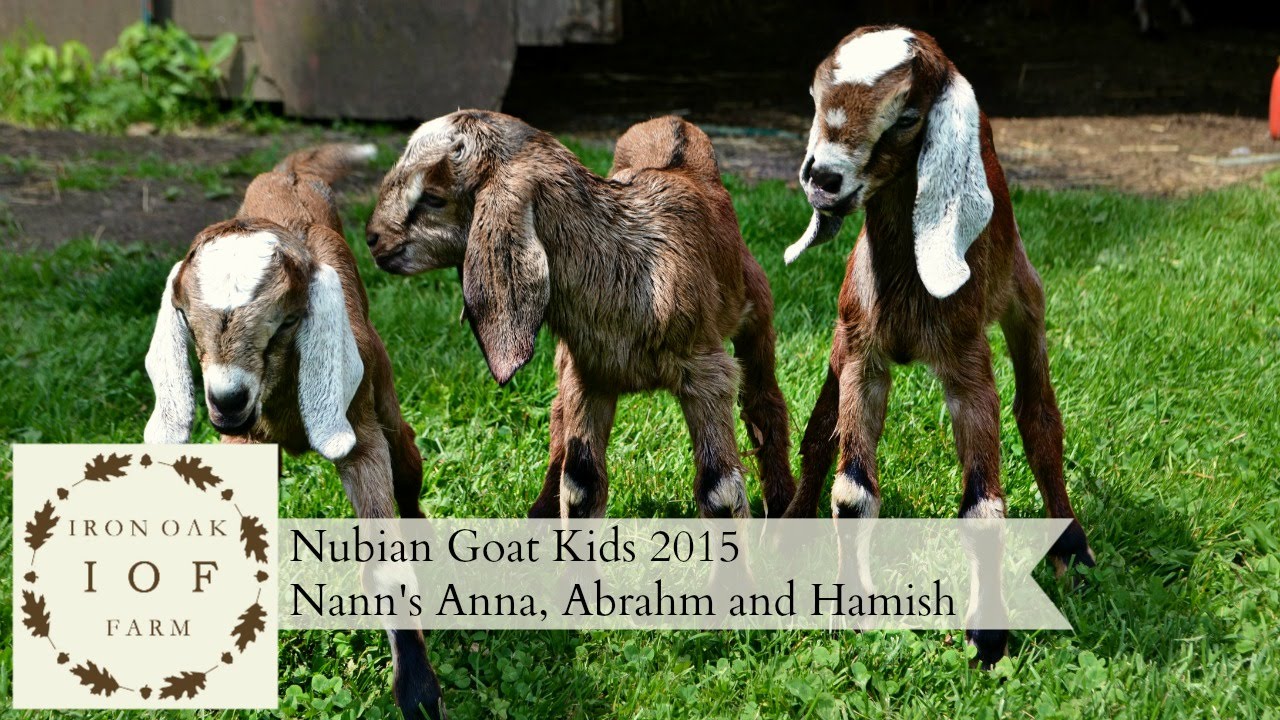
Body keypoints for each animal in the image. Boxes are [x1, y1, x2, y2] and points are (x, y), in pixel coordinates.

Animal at [142, 144, 444, 720]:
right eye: (186, 320)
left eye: (285, 323)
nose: (227, 401)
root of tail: (290, 173)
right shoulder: (241, 442)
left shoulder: (359, 434)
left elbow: (386, 562)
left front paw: (419, 692)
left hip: (384, 399)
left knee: (408, 463)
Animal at [365, 111, 795, 520]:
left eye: (434, 197)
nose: (372, 238)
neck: (630, 268)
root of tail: (674, 123)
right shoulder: (589, 376)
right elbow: (582, 484)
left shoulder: (705, 374)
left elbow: (718, 490)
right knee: (558, 418)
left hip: (755, 308)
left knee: (764, 402)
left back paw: (784, 503)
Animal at [781, 26, 1096, 663]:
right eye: (815, 95)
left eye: (907, 115)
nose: (822, 178)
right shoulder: (861, 355)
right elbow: (851, 489)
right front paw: (849, 610)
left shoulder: (968, 366)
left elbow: (984, 505)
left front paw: (989, 638)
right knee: (820, 431)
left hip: (1025, 299)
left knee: (1040, 418)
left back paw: (1071, 547)